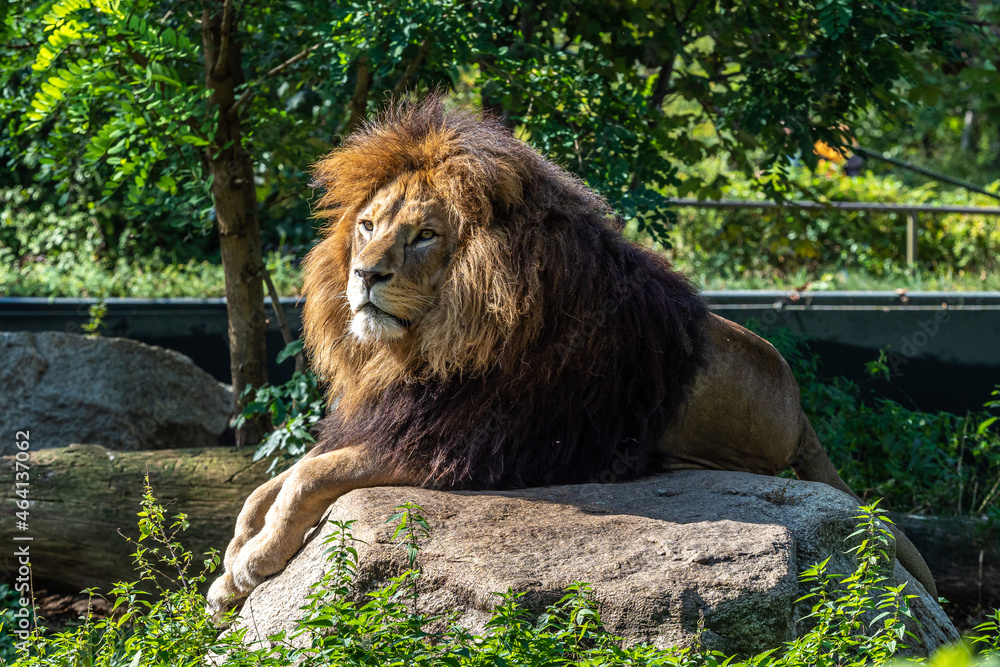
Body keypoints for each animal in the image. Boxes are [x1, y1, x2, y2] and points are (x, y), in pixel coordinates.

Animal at [207, 98, 936, 612]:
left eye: (423, 236)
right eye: (366, 226)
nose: (363, 274)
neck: (422, 348)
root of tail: (798, 402)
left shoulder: (454, 444)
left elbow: (309, 475)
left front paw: (250, 563)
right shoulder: (391, 417)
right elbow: (268, 484)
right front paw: (231, 564)